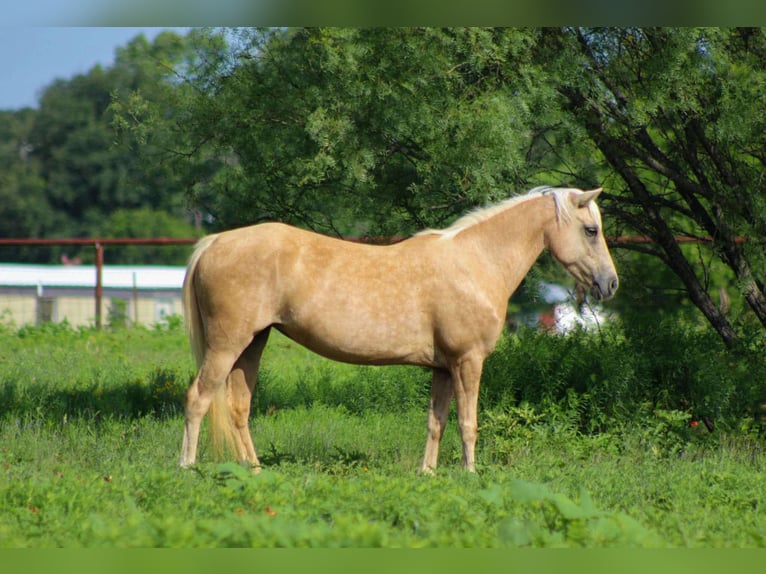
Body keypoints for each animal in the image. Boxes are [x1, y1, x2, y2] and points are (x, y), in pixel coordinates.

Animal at [179, 186, 618, 473]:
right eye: (591, 230)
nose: (610, 284)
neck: (475, 262)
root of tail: (215, 242)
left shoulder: (443, 368)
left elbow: (436, 422)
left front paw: (428, 474)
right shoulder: (468, 362)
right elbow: (468, 423)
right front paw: (471, 475)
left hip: (252, 344)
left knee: (238, 406)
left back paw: (254, 471)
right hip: (227, 345)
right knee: (198, 398)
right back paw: (187, 468)